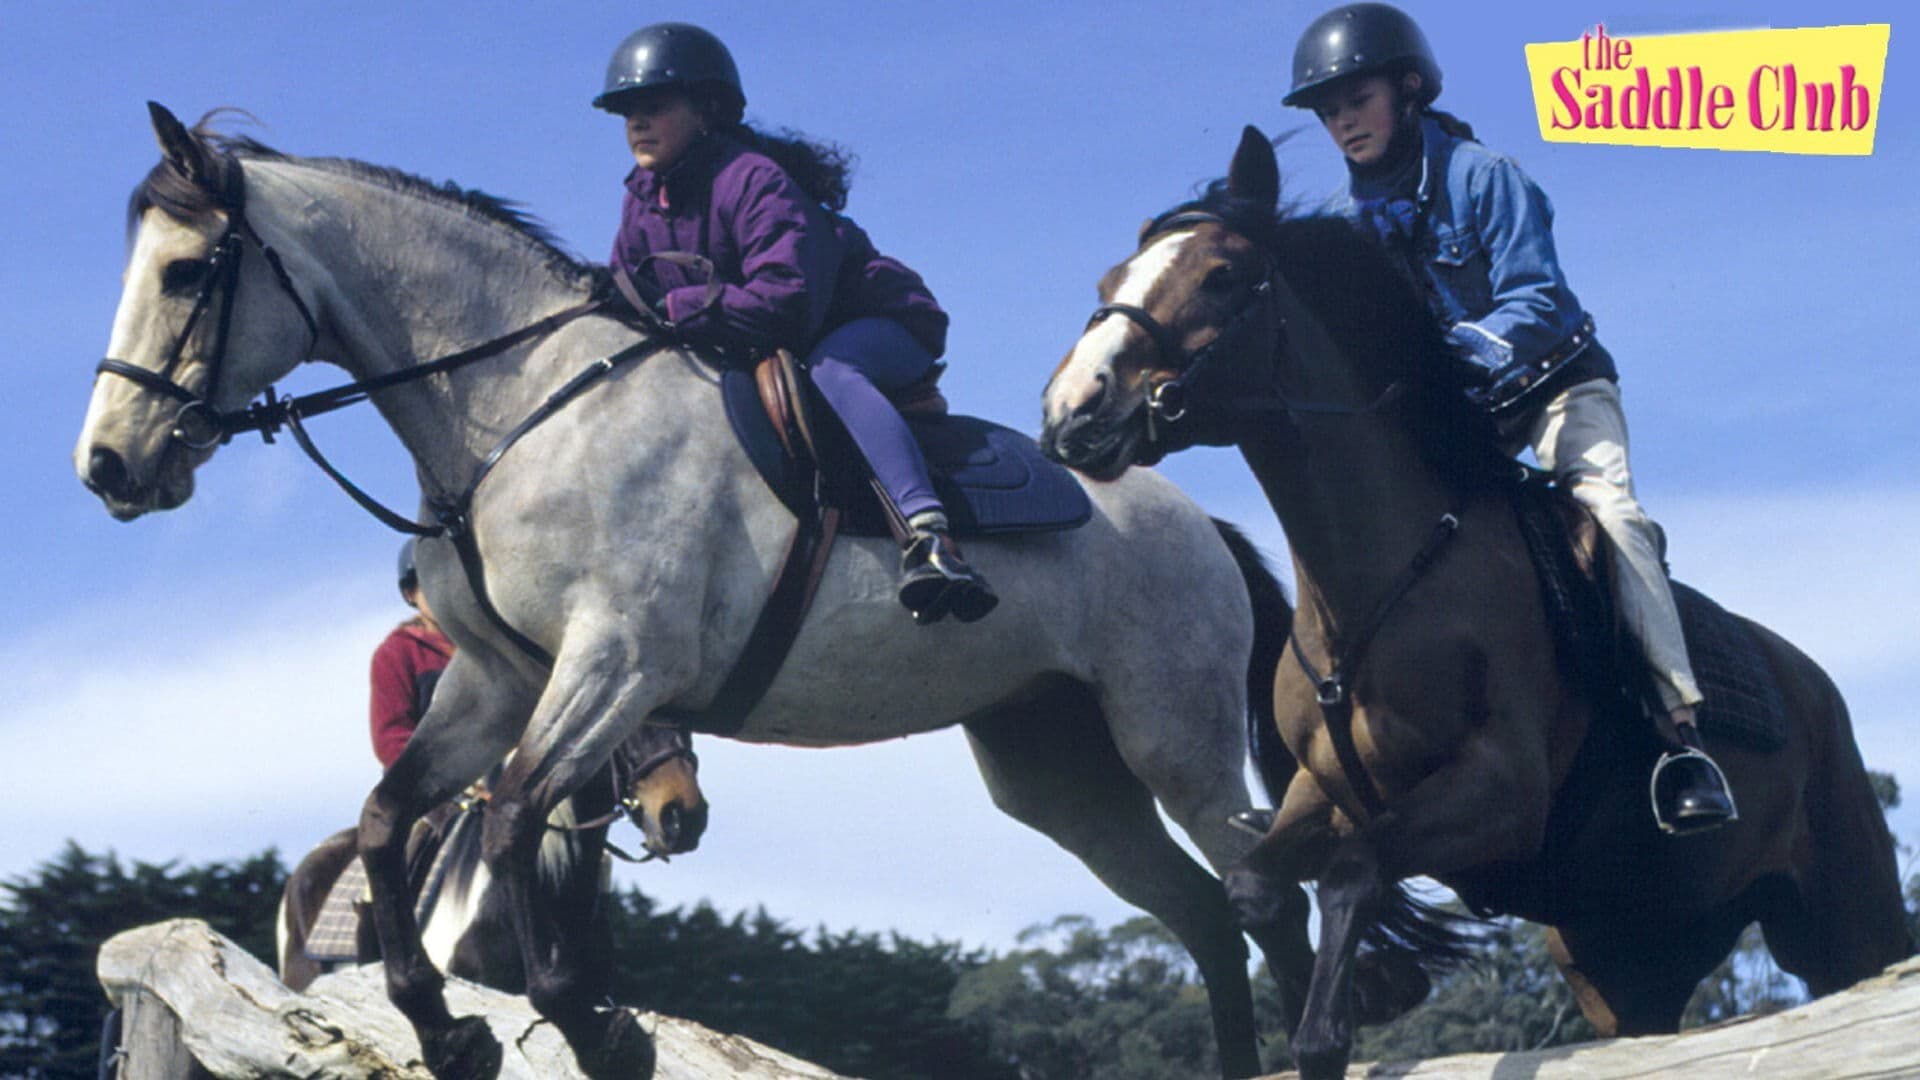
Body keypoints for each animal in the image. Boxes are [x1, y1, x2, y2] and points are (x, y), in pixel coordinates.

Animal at [1040, 127, 1913, 1079]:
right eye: (1108, 285)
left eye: (1222, 275)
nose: (1071, 412)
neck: (1375, 589)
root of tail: (1812, 685)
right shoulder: (1321, 790)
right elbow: (1256, 884)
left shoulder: (1499, 790)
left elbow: (1353, 873)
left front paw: (1327, 1034)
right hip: (1621, 962)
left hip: (1847, 917)